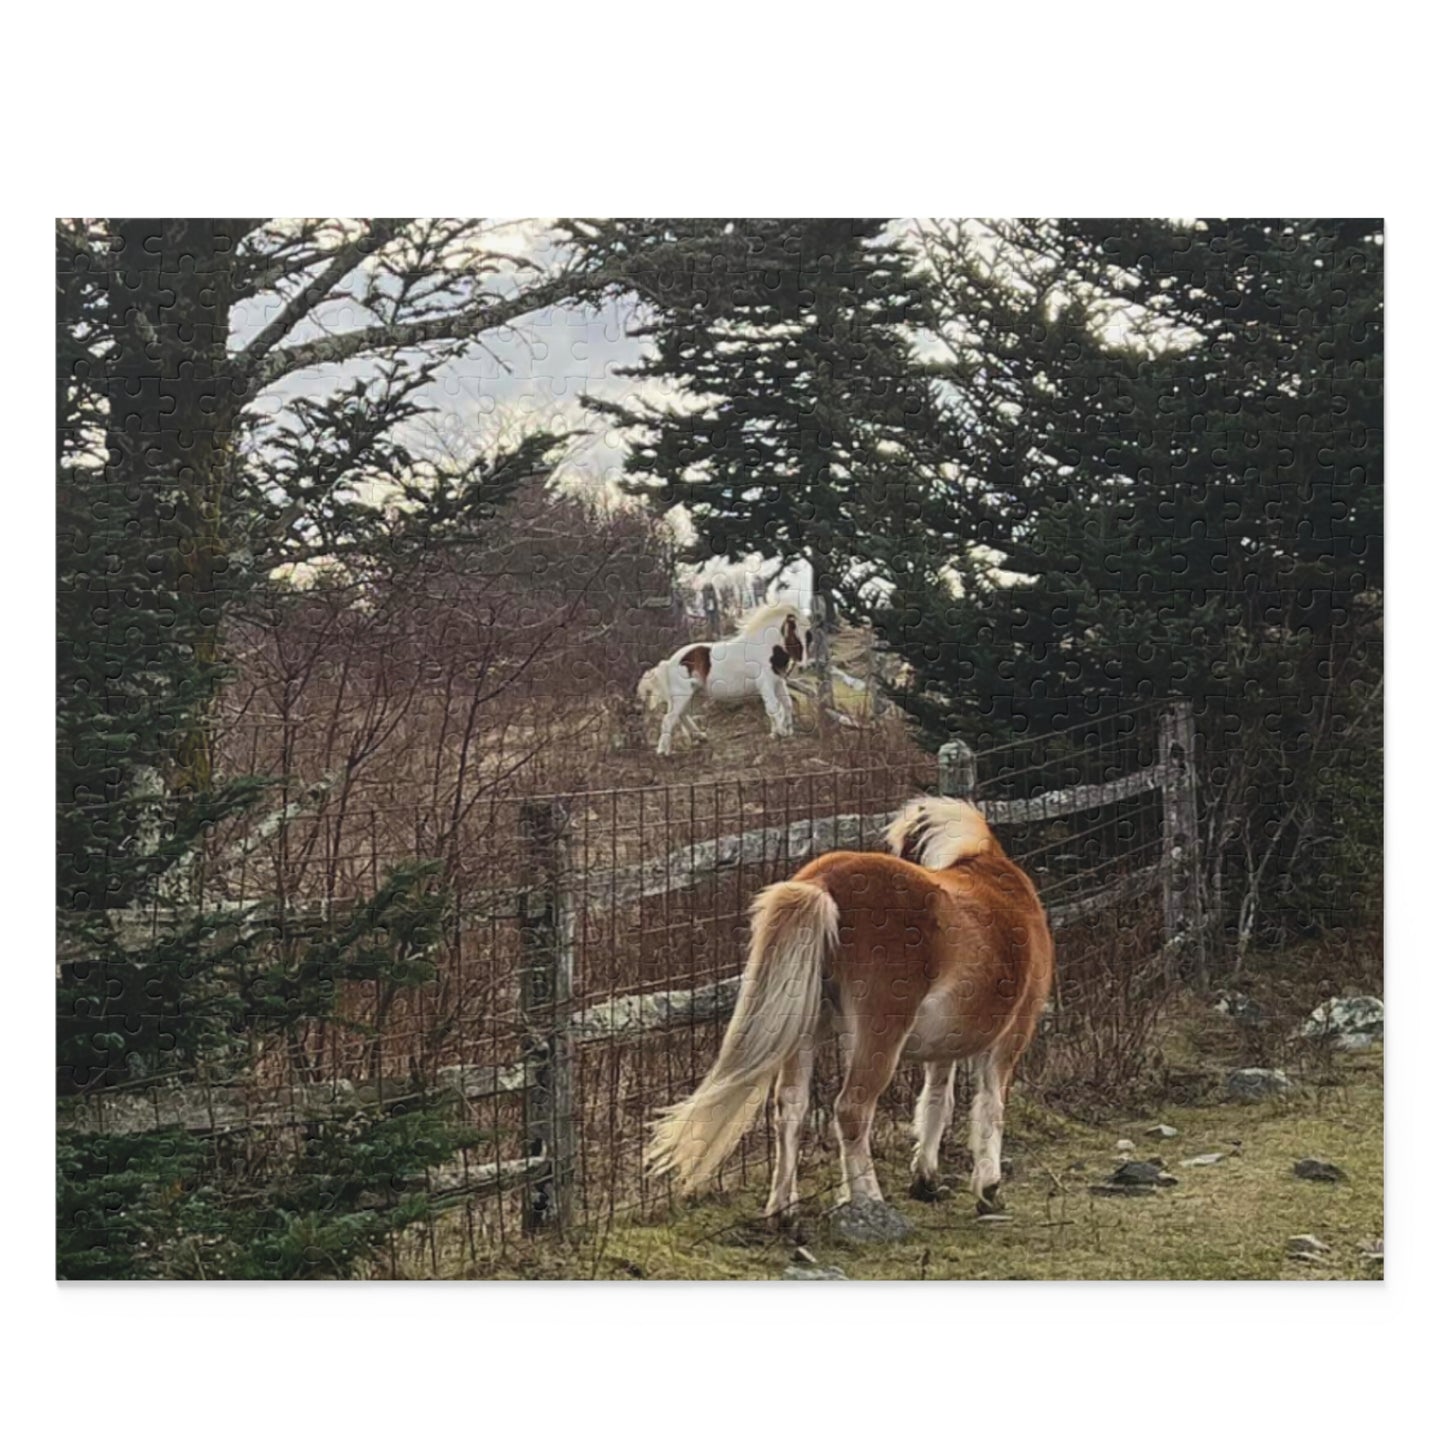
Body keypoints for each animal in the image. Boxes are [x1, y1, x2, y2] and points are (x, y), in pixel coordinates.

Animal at [636, 602, 812, 757]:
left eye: (808, 636)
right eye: (795, 632)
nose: (803, 666)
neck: (764, 648)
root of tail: (668, 663)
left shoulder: (778, 682)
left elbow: (787, 704)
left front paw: (784, 731)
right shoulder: (766, 684)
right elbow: (773, 708)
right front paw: (780, 732)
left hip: (687, 694)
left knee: (681, 715)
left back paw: (700, 736)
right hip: (682, 695)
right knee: (669, 719)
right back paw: (663, 752)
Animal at [645, 795, 1054, 1225]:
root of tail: (822, 885)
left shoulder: (946, 1046)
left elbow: (936, 1101)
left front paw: (925, 1178)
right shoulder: (1009, 1040)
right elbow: (990, 1106)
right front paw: (988, 1189)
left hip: (805, 1034)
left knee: (791, 1107)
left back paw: (784, 1209)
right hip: (879, 1039)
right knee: (852, 1110)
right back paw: (868, 1199)